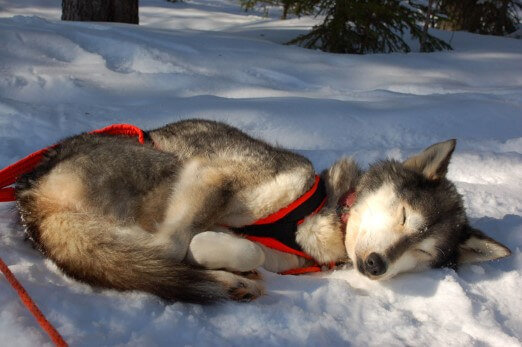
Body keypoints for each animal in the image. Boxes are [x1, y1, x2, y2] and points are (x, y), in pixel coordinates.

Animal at [15, 120, 508, 304]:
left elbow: (240, 249)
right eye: (405, 215)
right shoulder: (210, 174)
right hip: (162, 165)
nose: (375, 265)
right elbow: (177, 244)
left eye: (422, 252)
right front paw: (205, 250)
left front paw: (219, 254)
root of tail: (34, 189)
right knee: (146, 256)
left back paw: (228, 281)